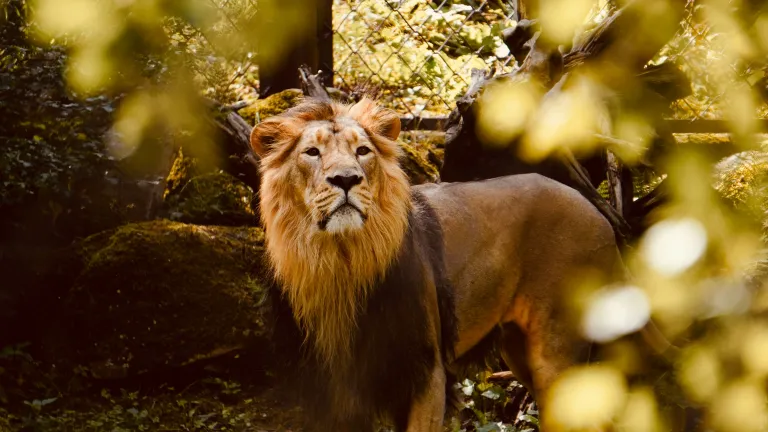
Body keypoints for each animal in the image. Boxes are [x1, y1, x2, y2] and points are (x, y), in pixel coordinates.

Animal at [250, 97, 668, 432]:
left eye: (363, 151)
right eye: (312, 153)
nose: (347, 179)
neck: (339, 261)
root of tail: (601, 216)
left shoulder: (425, 374)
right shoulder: (330, 392)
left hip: (557, 351)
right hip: (518, 348)